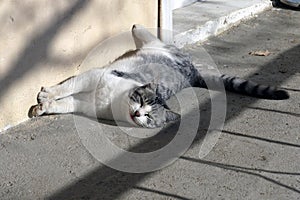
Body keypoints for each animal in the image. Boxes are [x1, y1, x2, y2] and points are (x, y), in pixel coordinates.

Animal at [29, 24, 290, 128]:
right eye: (141, 100)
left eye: (150, 117)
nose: (137, 114)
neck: (111, 102)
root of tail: (193, 72)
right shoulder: (94, 76)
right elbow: (67, 87)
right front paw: (47, 94)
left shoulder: (85, 103)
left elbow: (66, 103)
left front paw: (45, 105)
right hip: (157, 47)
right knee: (144, 34)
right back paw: (136, 28)